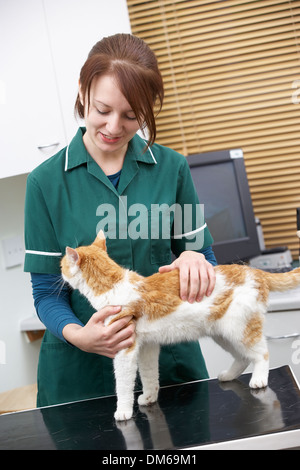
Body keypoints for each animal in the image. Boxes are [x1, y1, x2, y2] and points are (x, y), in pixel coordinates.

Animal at [61, 233, 300, 420]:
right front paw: (149, 397)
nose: (60, 272)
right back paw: (228, 376)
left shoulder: (124, 349)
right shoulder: (147, 346)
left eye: (62, 264)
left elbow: (123, 384)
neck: (113, 286)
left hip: (239, 329)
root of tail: (254, 271)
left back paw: (259, 378)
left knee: (261, 353)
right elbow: (149, 375)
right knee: (242, 357)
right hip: (222, 333)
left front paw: (123, 411)